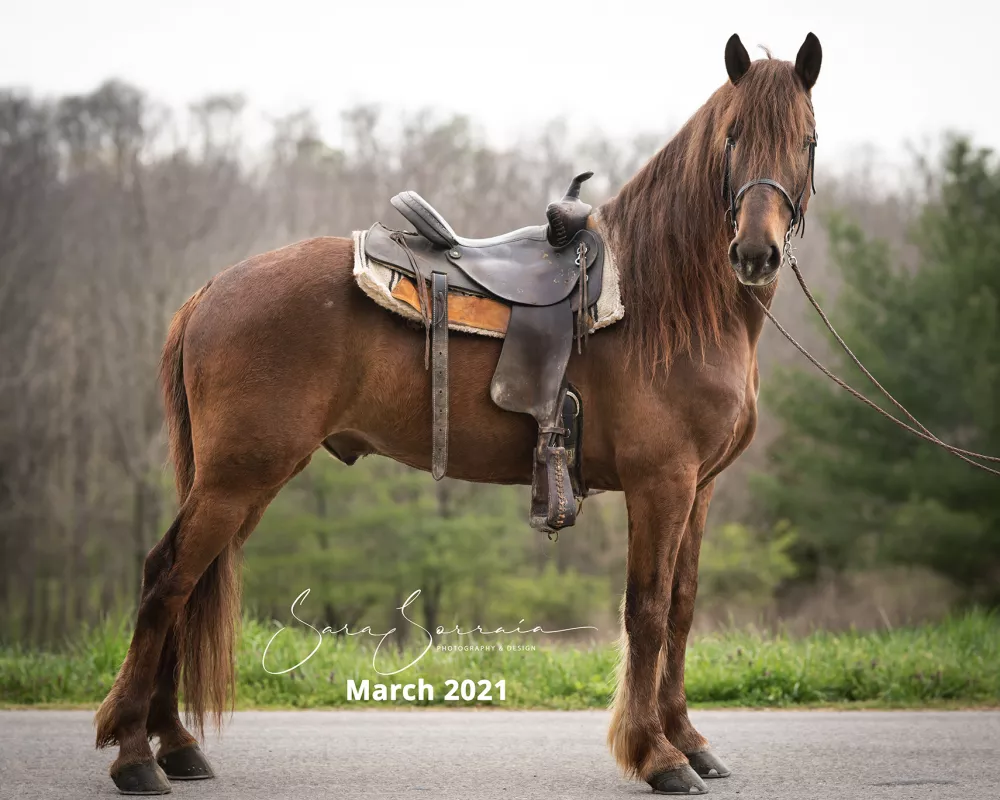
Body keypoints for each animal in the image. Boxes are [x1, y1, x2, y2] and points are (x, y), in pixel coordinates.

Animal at [97, 31, 824, 792]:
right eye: (733, 138)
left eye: (806, 142)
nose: (754, 252)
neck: (665, 301)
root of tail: (211, 291)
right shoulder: (661, 484)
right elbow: (648, 612)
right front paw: (657, 755)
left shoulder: (698, 488)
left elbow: (680, 610)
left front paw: (689, 740)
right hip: (237, 479)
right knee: (167, 581)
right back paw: (135, 754)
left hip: (242, 483)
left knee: (186, 585)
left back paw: (175, 743)